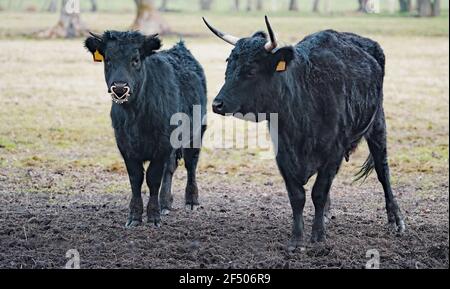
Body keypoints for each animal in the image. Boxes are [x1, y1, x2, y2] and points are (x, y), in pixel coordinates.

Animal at [85, 30, 207, 226]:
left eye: (135, 60)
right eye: (108, 59)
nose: (120, 88)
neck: (135, 114)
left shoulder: (162, 145)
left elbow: (153, 178)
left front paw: (153, 216)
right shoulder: (125, 145)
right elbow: (136, 178)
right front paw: (134, 216)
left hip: (197, 132)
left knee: (191, 163)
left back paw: (191, 201)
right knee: (170, 168)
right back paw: (165, 203)